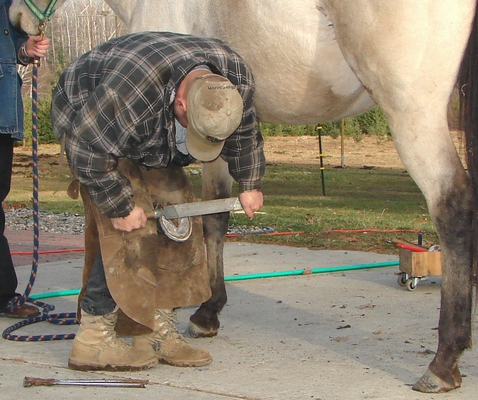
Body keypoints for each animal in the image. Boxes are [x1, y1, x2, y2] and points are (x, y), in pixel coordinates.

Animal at [10, 0, 478, 394]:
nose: (17, 19)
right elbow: (216, 216)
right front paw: (209, 310)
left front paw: (194, 314)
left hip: (412, 111)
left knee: (453, 208)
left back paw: (442, 363)